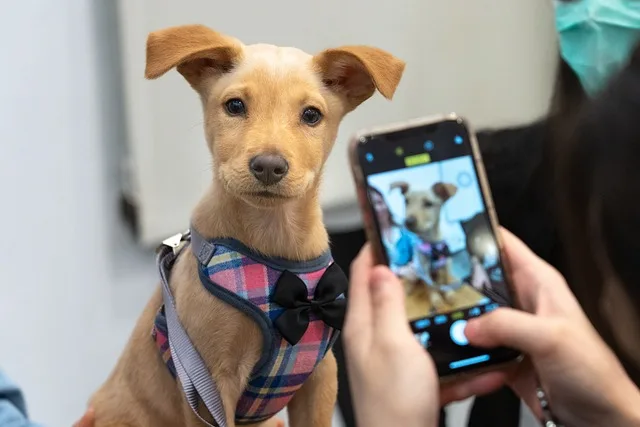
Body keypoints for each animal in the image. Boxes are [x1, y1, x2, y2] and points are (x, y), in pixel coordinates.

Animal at [87, 25, 402, 426]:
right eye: (235, 106)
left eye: (312, 115)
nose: (268, 166)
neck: (274, 242)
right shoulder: (209, 386)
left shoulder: (320, 375)